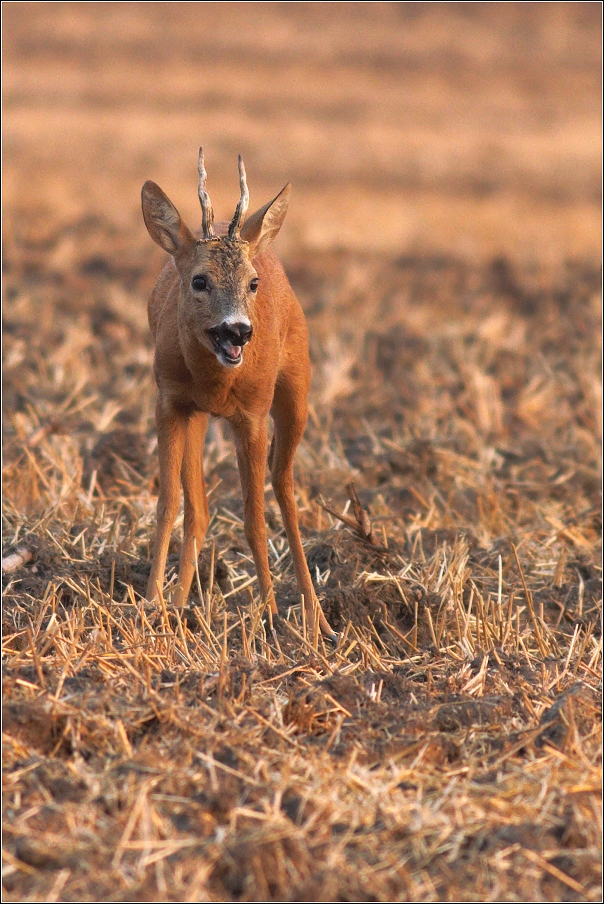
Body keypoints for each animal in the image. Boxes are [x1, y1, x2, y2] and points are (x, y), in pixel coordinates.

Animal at [143, 148, 340, 644]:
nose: (238, 330)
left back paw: (318, 622)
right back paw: (181, 606)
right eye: (199, 281)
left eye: (251, 284)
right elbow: (169, 505)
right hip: (198, 417)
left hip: (296, 391)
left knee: (284, 488)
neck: (215, 383)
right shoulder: (170, 402)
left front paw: (268, 615)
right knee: (199, 509)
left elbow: (255, 521)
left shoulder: (251, 414)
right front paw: (152, 606)